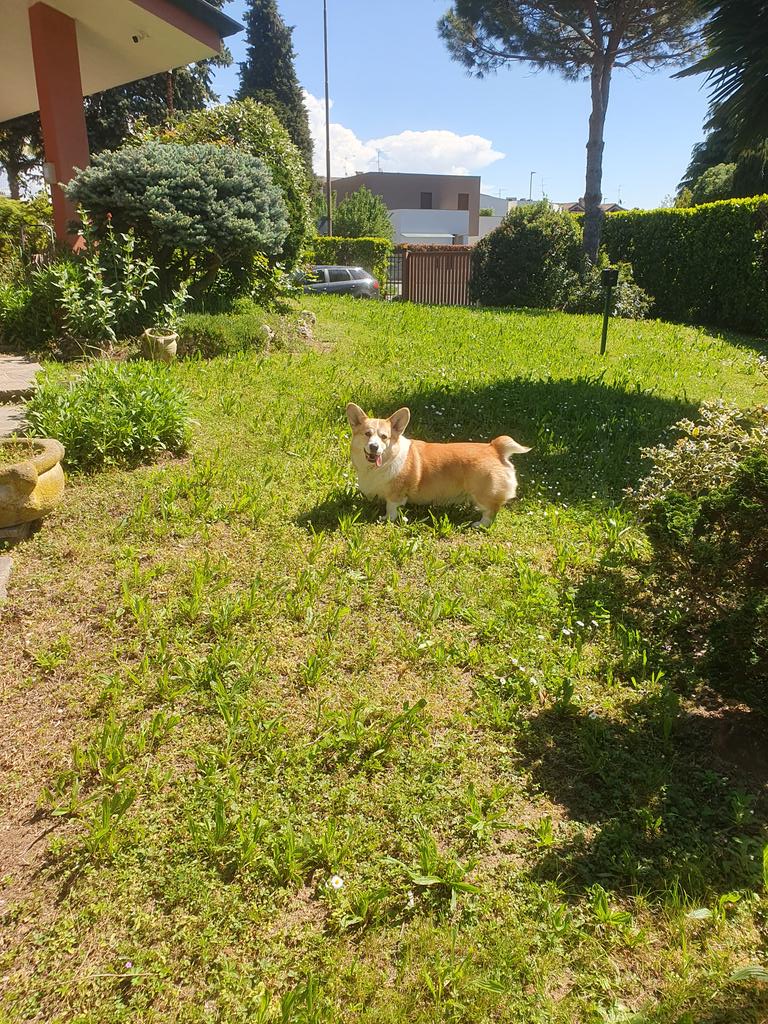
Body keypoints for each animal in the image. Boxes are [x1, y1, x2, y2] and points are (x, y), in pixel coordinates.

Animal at [348, 401, 532, 528]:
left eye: (384, 437)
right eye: (367, 434)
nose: (374, 447)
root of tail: (495, 448)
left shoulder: (396, 494)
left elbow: (391, 508)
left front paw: (386, 519)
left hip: (483, 493)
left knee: (490, 511)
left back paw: (479, 524)